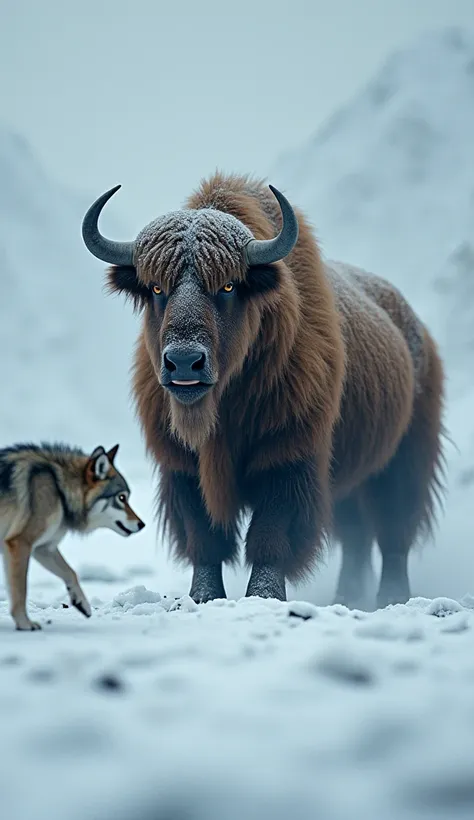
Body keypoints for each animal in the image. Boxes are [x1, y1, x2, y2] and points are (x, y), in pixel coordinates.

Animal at [0, 446, 144, 632]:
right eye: (121, 498)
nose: (142, 524)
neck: (59, 489)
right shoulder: (20, 542)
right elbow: (20, 590)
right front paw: (24, 623)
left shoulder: (43, 549)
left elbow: (71, 572)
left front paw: (82, 603)